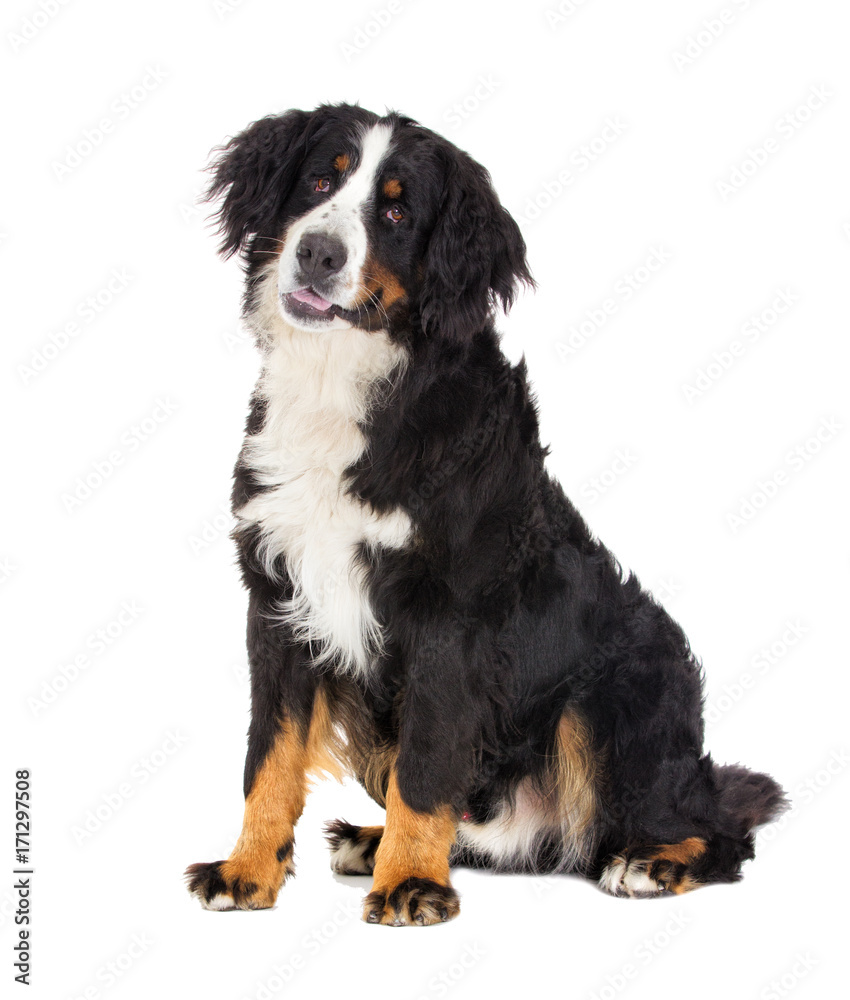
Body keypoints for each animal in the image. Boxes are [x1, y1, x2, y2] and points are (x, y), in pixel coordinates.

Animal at [187, 101, 788, 920]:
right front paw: (248, 870)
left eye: (397, 211)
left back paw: (649, 863)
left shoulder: (448, 615)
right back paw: (369, 840)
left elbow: (426, 766)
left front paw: (411, 881)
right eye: (319, 181)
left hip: (614, 695)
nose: (316, 253)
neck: (345, 386)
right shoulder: (279, 596)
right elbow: (269, 756)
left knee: (714, 832)